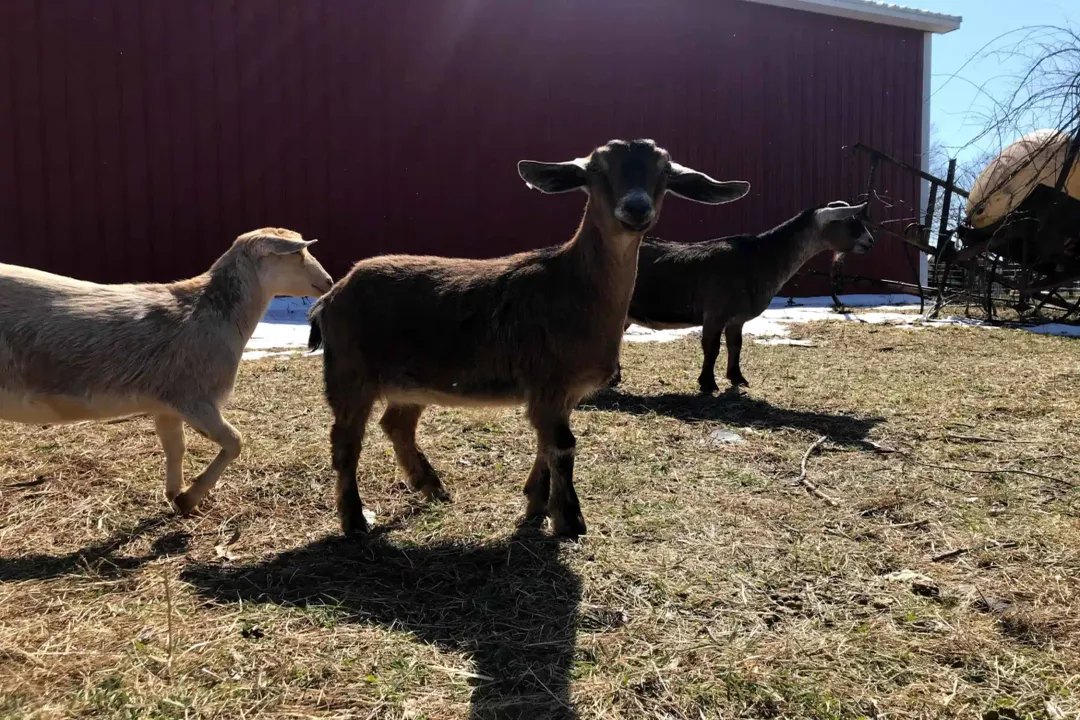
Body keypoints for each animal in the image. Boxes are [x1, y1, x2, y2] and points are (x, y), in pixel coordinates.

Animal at [0, 228, 332, 513]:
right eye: (298, 254)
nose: (328, 281)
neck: (212, 313)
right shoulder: (194, 397)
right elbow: (235, 441)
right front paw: (190, 497)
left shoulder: (166, 403)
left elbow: (176, 447)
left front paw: (177, 495)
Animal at [308, 139, 750, 538]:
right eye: (597, 169)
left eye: (665, 172)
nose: (636, 208)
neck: (571, 287)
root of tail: (333, 295)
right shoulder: (548, 379)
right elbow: (562, 444)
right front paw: (569, 520)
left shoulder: (560, 392)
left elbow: (546, 442)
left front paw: (537, 504)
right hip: (349, 372)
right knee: (345, 442)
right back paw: (355, 520)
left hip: (410, 383)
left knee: (396, 425)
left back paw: (433, 488)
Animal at [614, 201, 873, 393]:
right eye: (849, 222)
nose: (870, 242)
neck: (759, 258)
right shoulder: (715, 312)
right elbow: (712, 347)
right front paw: (708, 383)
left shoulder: (736, 318)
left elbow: (735, 345)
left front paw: (737, 378)